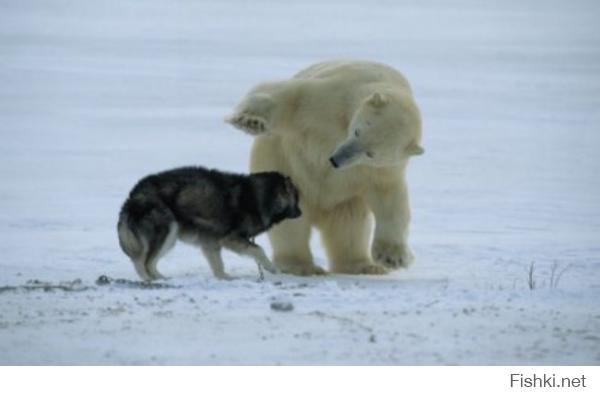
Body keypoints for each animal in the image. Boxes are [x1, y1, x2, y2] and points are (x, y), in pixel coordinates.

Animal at [118, 167, 302, 282]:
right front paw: (273, 269)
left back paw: (159, 278)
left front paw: (225, 278)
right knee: (143, 262)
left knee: (148, 261)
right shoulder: (230, 238)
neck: (258, 197)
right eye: (296, 198)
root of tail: (134, 193)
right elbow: (258, 250)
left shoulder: (211, 240)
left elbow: (217, 264)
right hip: (168, 230)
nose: (300, 213)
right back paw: (150, 280)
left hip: (169, 236)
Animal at [225, 59, 422, 276]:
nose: (335, 160)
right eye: (357, 131)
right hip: (283, 166)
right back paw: (301, 266)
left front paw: (393, 258)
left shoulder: (382, 168)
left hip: (344, 200)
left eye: (371, 153)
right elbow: (289, 97)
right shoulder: (332, 97)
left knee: (350, 226)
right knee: (291, 224)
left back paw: (363, 266)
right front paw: (250, 121)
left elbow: (390, 199)